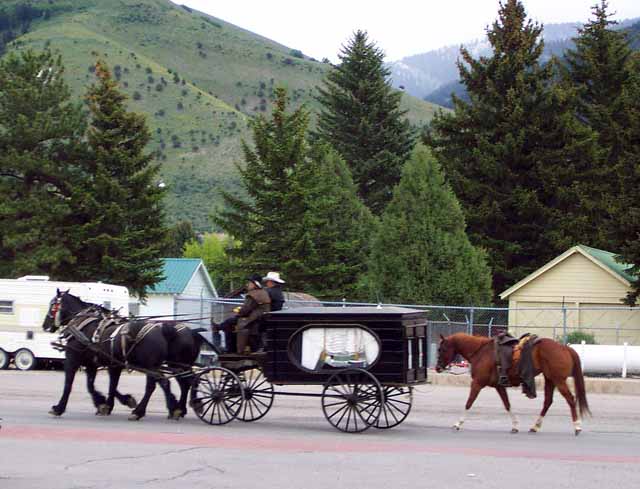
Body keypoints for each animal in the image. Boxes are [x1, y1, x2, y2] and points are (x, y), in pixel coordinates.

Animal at [43, 290, 204, 420]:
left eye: (52, 305)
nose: (45, 325)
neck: (83, 325)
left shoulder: (72, 360)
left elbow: (69, 385)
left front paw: (59, 408)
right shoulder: (101, 364)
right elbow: (102, 385)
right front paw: (107, 404)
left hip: (153, 365)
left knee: (162, 384)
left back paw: (144, 411)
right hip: (171, 365)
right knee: (183, 382)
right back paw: (178, 408)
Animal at [436, 334, 592, 432]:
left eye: (442, 349)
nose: (438, 367)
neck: (480, 352)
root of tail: (565, 347)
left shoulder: (477, 383)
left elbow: (469, 403)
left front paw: (458, 423)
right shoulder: (499, 386)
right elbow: (507, 404)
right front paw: (515, 425)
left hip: (558, 380)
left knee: (570, 399)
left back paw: (577, 426)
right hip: (550, 380)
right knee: (548, 401)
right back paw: (535, 426)